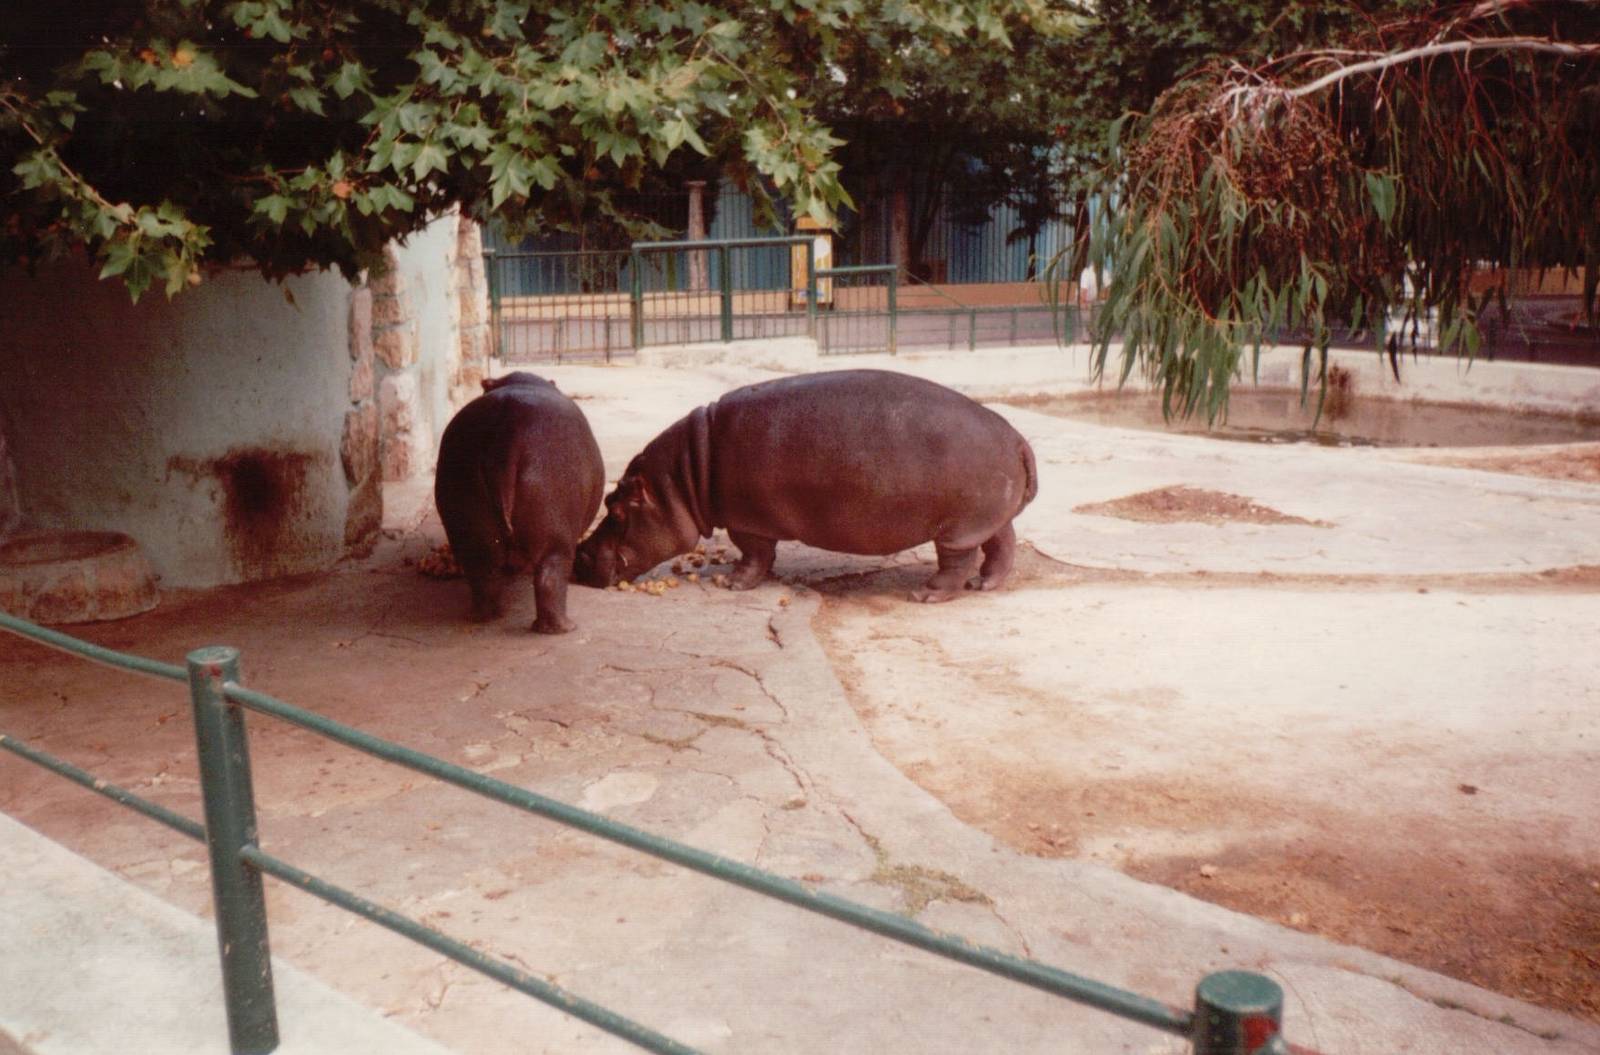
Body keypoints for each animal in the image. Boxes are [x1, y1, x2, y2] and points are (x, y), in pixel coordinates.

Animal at [434, 372, 604, 633]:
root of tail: (508, 426)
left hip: (471, 524)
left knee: (483, 573)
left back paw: (483, 616)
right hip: (555, 534)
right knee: (550, 578)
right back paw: (564, 628)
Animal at [573, 369, 1037, 601]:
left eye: (616, 508)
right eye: (609, 498)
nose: (579, 554)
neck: (685, 478)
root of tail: (1016, 437)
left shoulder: (747, 518)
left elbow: (755, 554)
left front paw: (732, 583)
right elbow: (763, 555)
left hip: (957, 527)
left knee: (958, 562)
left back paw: (926, 594)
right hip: (985, 517)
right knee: (1002, 542)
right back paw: (986, 585)